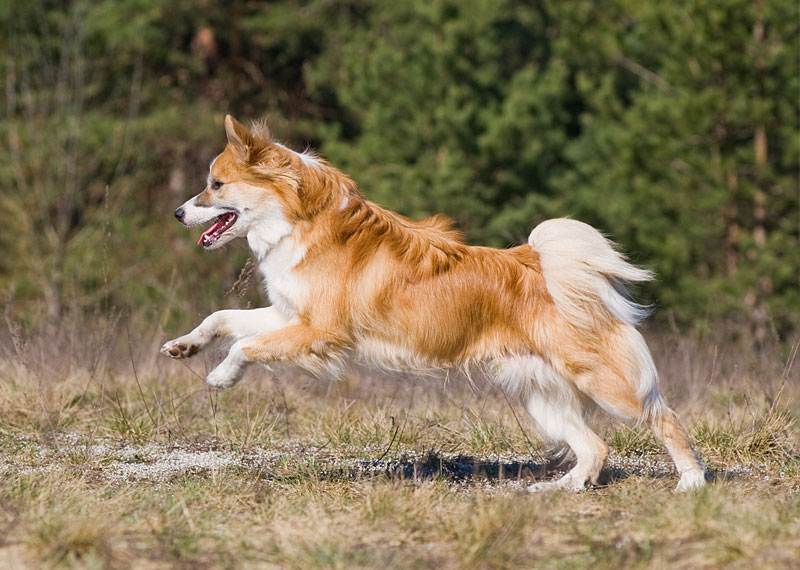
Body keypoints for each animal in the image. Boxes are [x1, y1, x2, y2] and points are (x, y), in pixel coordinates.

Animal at [162, 114, 708, 488]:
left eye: (215, 185)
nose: (176, 213)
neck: (301, 218)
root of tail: (545, 265)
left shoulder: (318, 332)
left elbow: (245, 346)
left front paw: (221, 376)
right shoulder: (287, 316)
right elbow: (223, 318)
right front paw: (185, 347)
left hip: (605, 383)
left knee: (663, 418)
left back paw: (692, 482)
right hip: (541, 394)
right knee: (594, 448)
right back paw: (558, 488)